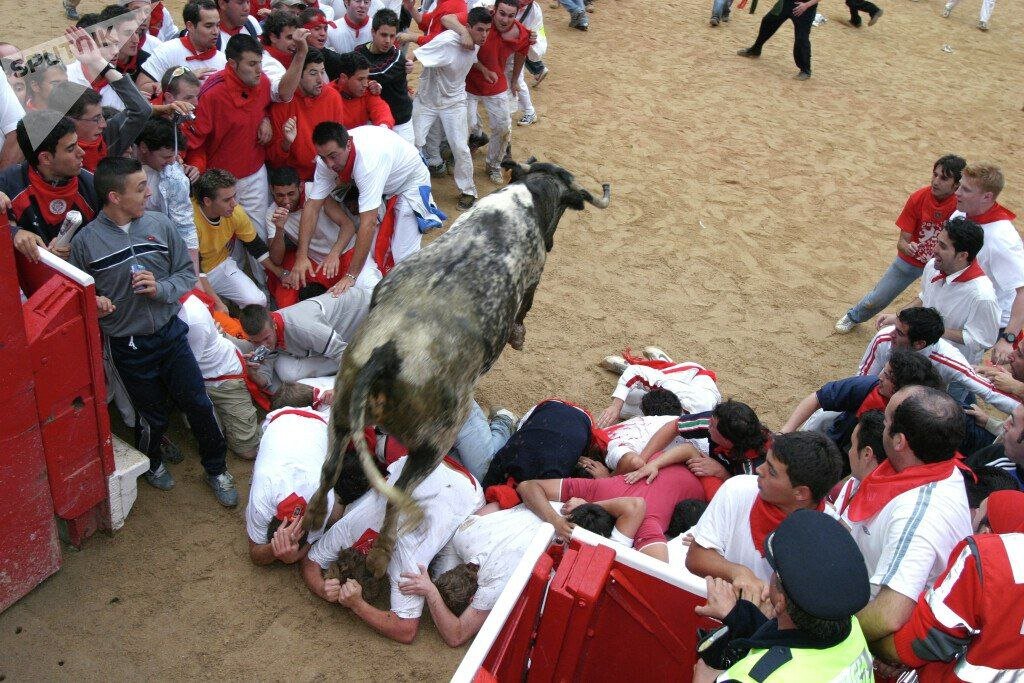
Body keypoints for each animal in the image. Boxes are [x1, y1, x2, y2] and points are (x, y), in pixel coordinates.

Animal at [299, 157, 610, 573]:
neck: (524, 200)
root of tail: (387, 354)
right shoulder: (533, 279)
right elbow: (524, 309)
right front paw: (519, 335)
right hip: (435, 443)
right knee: (398, 495)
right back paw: (380, 557)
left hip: (342, 411)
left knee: (330, 468)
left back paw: (314, 517)